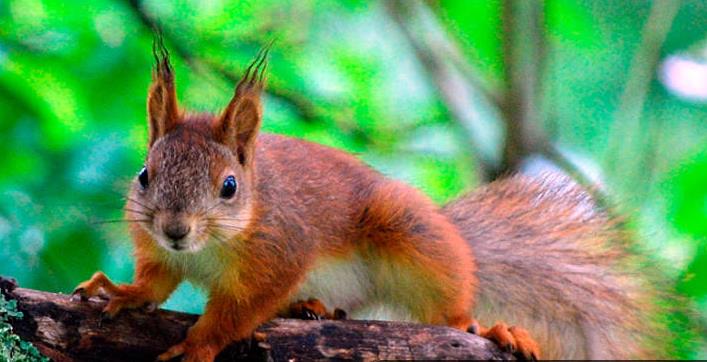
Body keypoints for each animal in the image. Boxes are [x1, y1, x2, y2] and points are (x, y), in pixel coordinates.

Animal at [72, 41, 668, 360]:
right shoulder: (157, 249)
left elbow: (238, 311)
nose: (175, 228)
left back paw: (490, 328)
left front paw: (200, 343)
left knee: (452, 314)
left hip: (411, 235)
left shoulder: (279, 253)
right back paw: (308, 307)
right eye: (144, 175)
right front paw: (121, 291)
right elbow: (156, 282)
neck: (208, 250)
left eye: (229, 186)